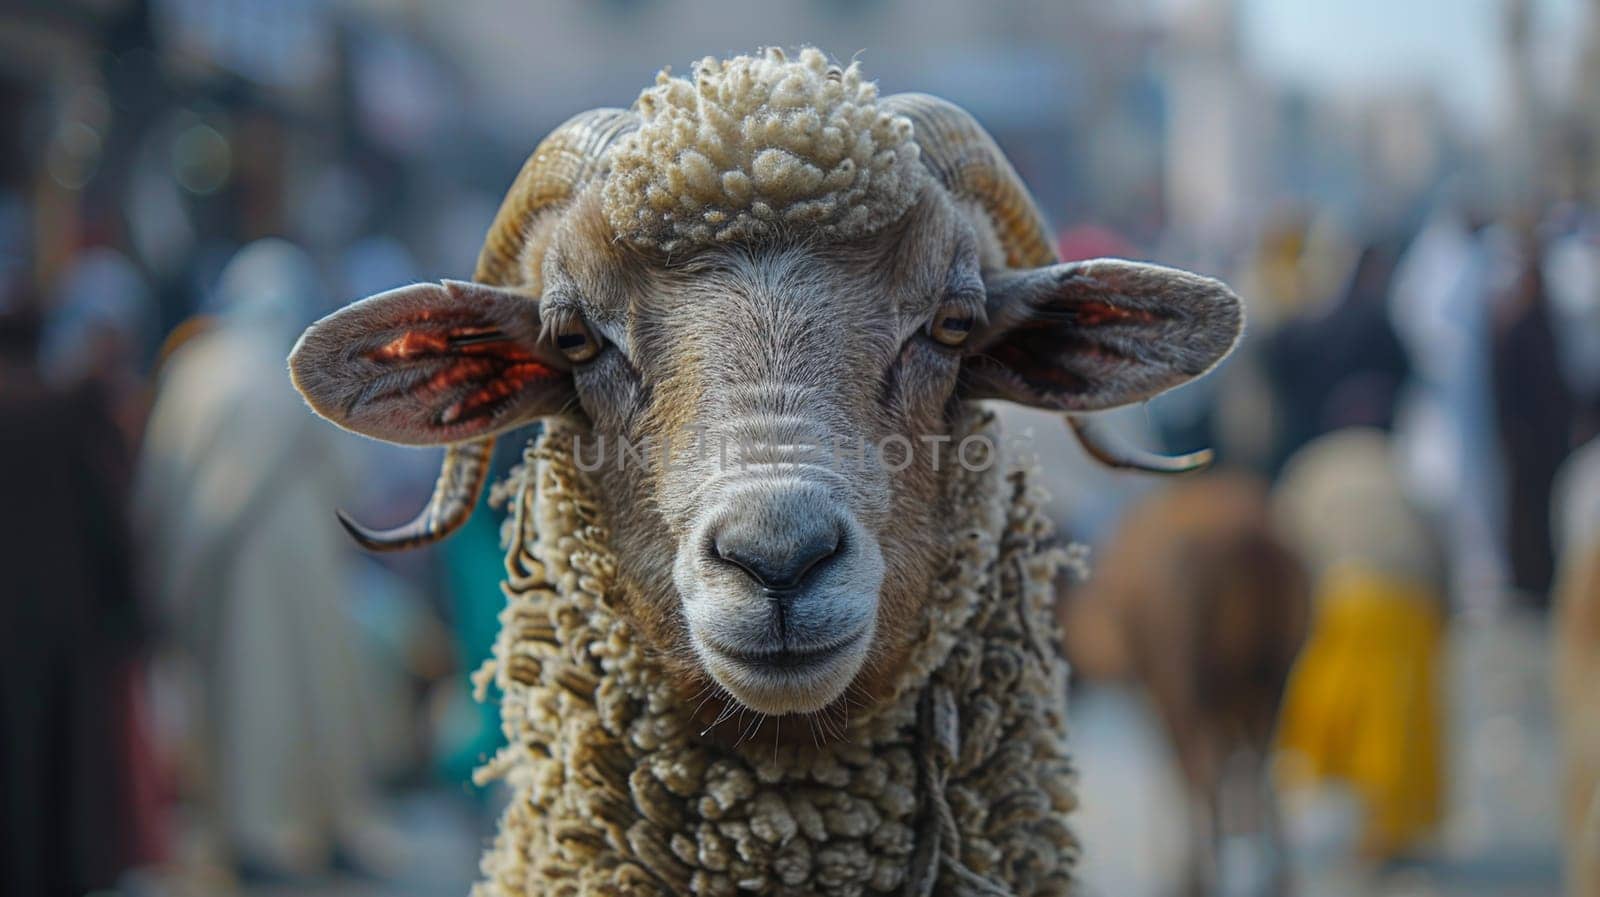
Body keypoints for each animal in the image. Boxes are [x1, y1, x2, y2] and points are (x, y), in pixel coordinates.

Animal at [1056, 473, 1305, 889]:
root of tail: (1250, 546)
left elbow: (1172, 768)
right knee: (1261, 766)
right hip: (1272, 675)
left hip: (1191, 680)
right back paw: (1276, 878)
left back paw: (1202, 877)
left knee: (1202, 770)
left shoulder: (1157, 683)